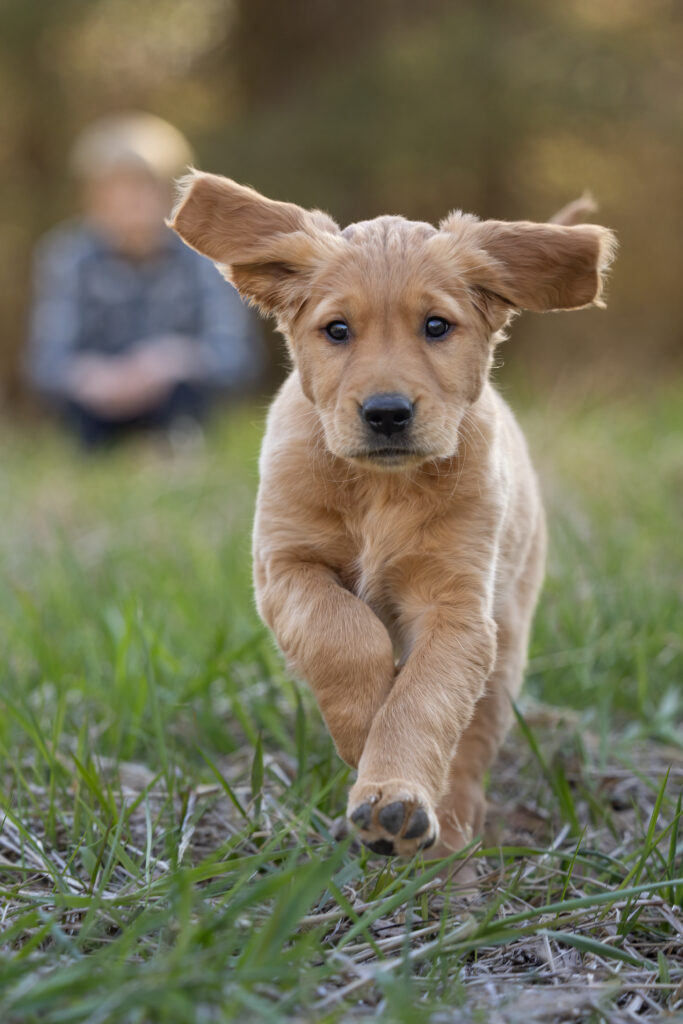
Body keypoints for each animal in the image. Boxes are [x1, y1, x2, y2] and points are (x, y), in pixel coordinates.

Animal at [169, 174, 614, 856]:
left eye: (436, 326)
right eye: (336, 330)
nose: (386, 413)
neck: (381, 488)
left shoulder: (458, 607)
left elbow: (424, 701)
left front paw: (394, 796)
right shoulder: (285, 565)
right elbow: (343, 634)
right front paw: (361, 731)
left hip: (508, 640)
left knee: (474, 742)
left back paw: (450, 833)